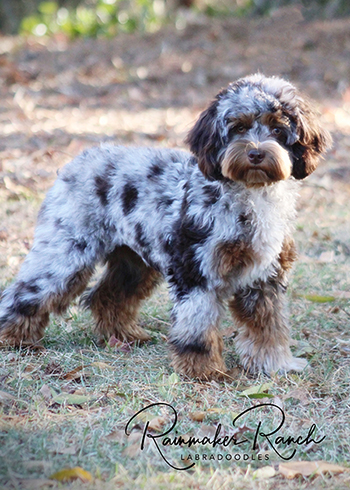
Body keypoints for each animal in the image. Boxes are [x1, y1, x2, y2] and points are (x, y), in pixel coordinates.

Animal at [0, 73, 330, 378]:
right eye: (238, 127)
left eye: (277, 129)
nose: (256, 153)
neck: (249, 195)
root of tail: (80, 159)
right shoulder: (197, 273)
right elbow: (197, 326)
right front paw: (203, 372)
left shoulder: (264, 279)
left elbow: (268, 327)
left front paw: (275, 365)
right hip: (67, 254)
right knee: (24, 294)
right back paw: (14, 339)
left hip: (134, 262)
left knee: (107, 296)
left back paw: (124, 336)